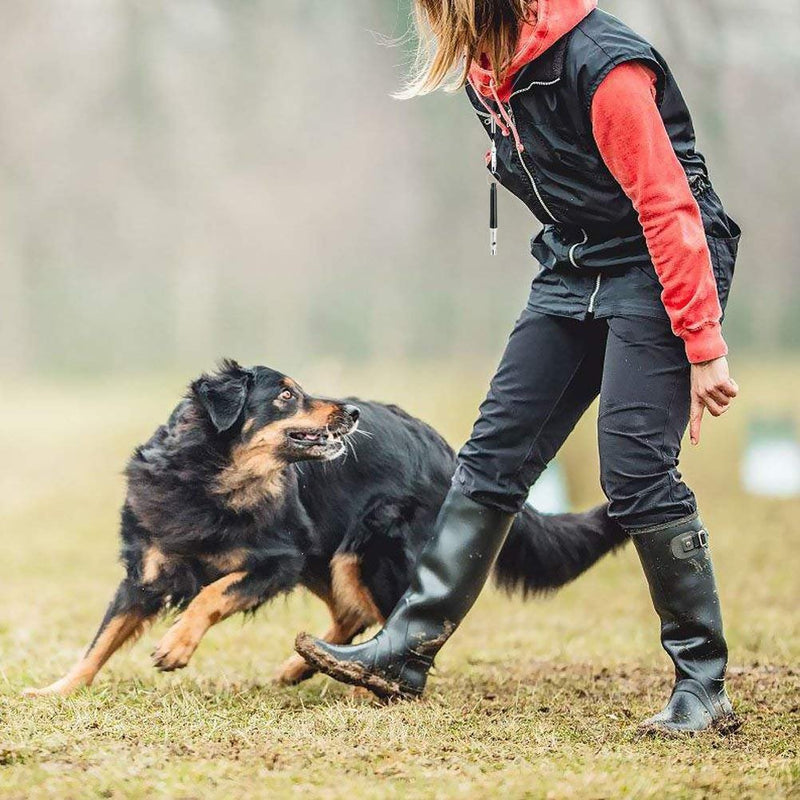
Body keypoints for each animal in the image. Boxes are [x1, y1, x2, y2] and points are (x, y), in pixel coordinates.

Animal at [25, 360, 628, 692]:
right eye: (286, 395)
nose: (351, 414)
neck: (210, 480)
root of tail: (449, 451)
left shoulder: (276, 561)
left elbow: (211, 594)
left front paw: (176, 645)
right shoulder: (146, 572)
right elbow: (101, 639)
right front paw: (58, 691)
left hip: (365, 552)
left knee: (390, 616)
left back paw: (368, 684)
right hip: (327, 553)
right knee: (352, 613)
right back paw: (303, 666)